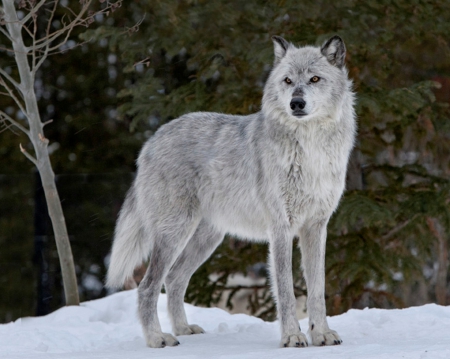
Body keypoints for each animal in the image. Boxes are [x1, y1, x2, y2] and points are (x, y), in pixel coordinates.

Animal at [107, 35, 356, 350]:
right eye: (287, 80)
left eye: (314, 79)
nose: (296, 103)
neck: (309, 149)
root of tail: (150, 142)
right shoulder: (281, 229)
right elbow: (286, 291)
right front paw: (292, 337)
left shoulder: (316, 227)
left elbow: (317, 290)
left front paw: (321, 334)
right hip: (174, 234)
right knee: (147, 286)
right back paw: (157, 338)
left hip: (206, 239)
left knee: (173, 279)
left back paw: (184, 329)